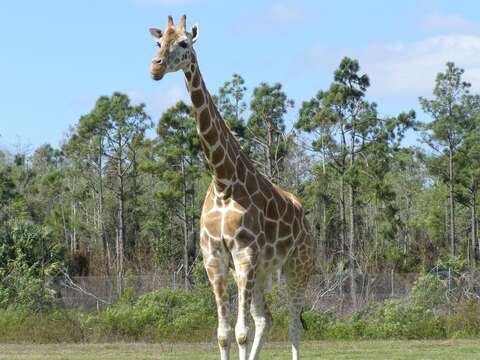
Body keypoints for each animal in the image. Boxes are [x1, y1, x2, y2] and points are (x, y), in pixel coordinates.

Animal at [149, 15, 316, 360]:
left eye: (183, 43)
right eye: (158, 43)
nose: (155, 67)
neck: (224, 180)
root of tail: (304, 218)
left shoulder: (245, 255)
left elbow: (241, 332)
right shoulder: (214, 258)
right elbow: (224, 334)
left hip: (299, 264)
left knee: (293, 320)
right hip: (264, 271)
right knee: (266, 318)